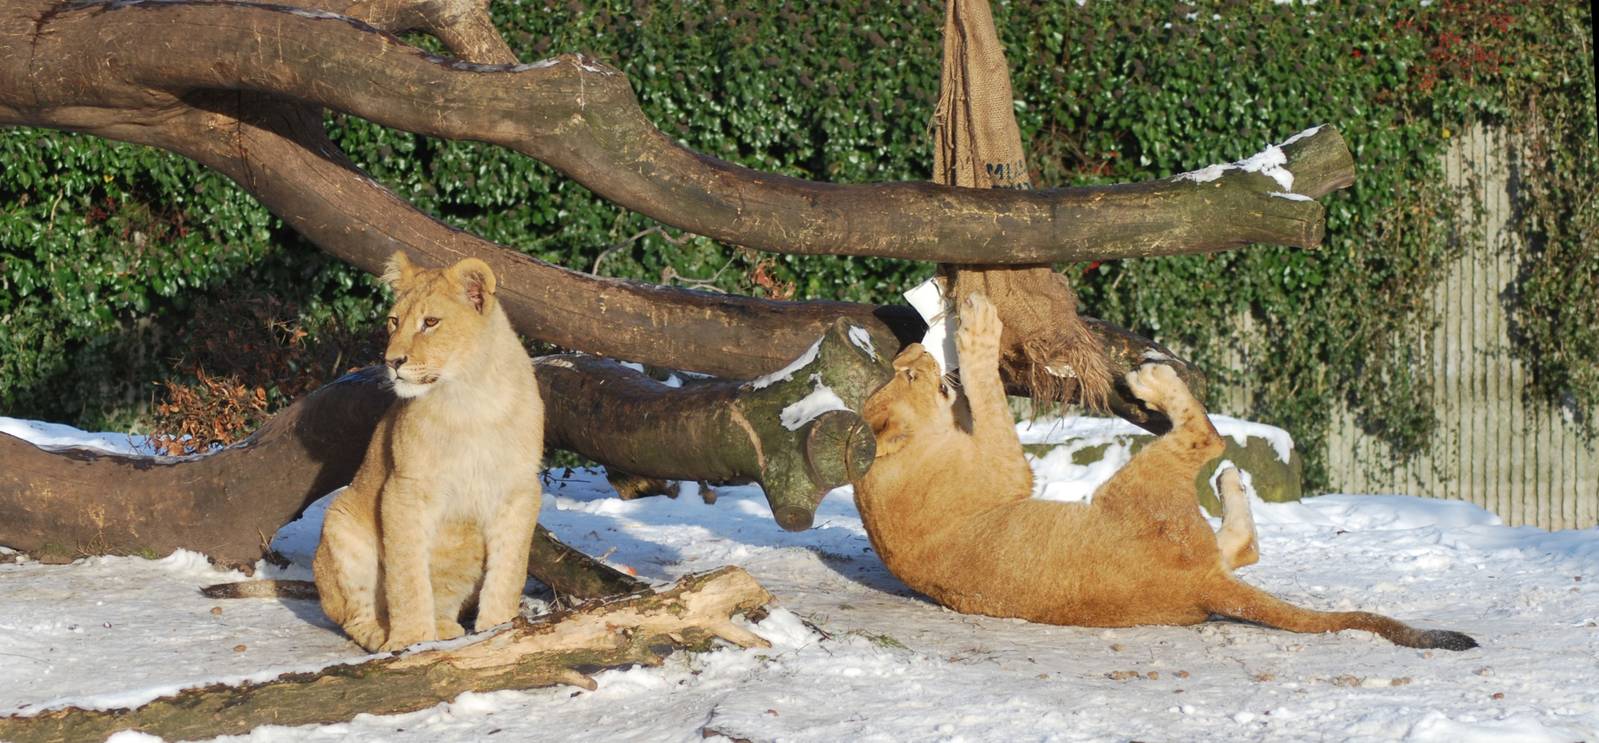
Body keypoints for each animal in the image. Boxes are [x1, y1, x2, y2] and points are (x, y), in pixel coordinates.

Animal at [206, 253, 545, 652]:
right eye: (394, 321)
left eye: (431, 322)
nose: (392, 361)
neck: (469, 398)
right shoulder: (404, 489)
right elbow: (407, 575)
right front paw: (412, 641)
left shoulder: (519, 491)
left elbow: (509, 570)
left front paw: (501, 632)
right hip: (341, 524)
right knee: (354, 615)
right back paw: (382, 636)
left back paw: (445, 629)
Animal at [853, 293, 1476, 650]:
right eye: (909, 377)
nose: (915, 353)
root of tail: (1199, 586)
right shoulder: (1006, 470)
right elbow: (986, 390)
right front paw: (978, 329)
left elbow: (978, 396)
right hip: (1136, 481)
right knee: (1208, 439)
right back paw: (1158, 382)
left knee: (1242, 545)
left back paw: (1230, 479)